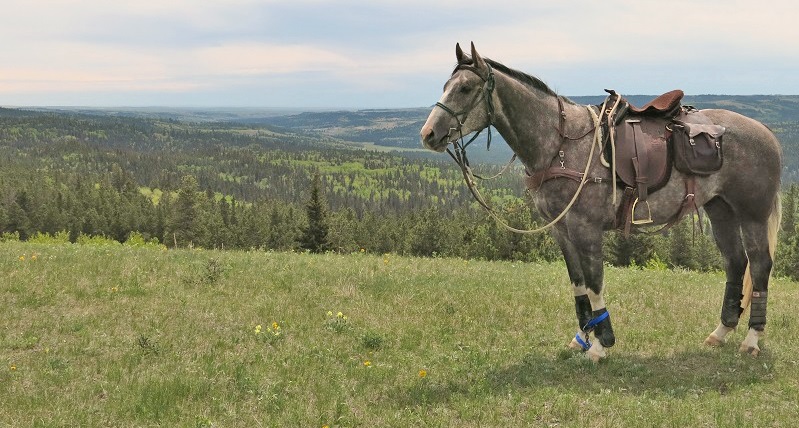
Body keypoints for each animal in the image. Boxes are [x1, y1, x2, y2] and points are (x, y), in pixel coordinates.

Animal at [420, 42, 782, 361]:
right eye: (446, 85)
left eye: (465, 88)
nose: (428, 134)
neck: (560, 143)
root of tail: (767, 132)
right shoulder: (562, 230)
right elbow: (578, 284)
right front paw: (582, 337)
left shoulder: (586, 229)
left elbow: (594, 283)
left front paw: (600, 344)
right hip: (720, 211)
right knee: (736, 263)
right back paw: (721, 332)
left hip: (752, 214)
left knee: (759, 265)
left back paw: (751, 339)